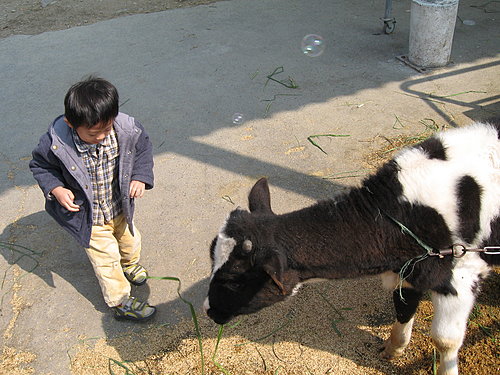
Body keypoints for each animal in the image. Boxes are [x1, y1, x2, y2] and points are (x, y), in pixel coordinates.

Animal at [204, 120, 500, 375]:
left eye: (234, 279)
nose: (208, 309)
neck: (397, 216)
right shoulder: (410, 272)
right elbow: (403, 308)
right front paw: (393, 348)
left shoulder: (462, 274)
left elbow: (444, 340)